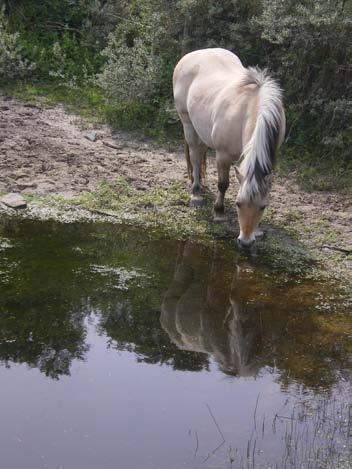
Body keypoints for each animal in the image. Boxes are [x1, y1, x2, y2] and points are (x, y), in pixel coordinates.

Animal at [173, 47, 286, 247]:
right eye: (238, 204)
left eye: (263, 206)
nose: (246, 243)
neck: (250, 110)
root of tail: (195, 54)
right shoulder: (223, 156)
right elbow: (223, 184)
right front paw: (219, 212)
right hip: (187, 123)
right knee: (195, 156)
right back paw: (196, 193)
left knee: (200, 151)